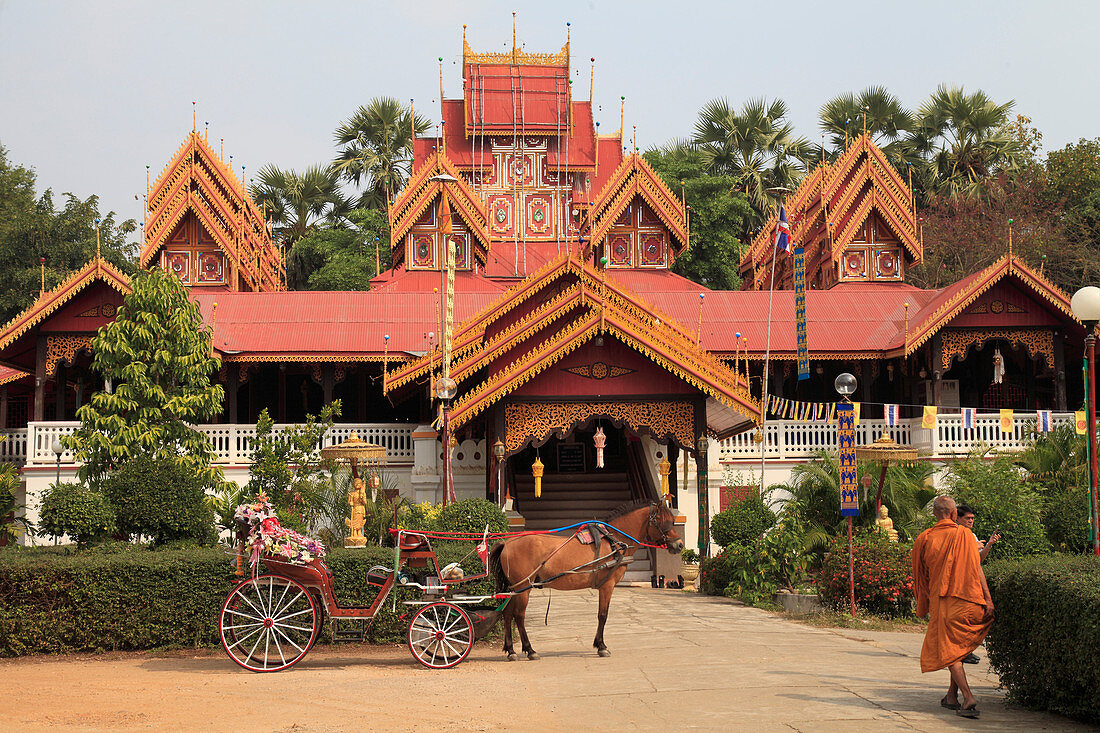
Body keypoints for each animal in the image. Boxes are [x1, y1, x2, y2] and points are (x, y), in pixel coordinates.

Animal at [488, 499, 677, 660]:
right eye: (666, 522)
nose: (679, 544)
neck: (614, 541)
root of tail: (507, 543)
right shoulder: (607, 586)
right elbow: (603, 615)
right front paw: (601, 646)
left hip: (515, 587)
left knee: (507, 613)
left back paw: (511, 650)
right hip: (524, 587)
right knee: (519, 616)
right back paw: (530, 650)